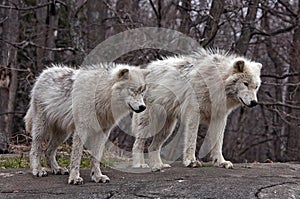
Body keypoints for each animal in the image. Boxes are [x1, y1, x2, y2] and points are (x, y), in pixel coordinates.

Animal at [132, 48, 262, 171]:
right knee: (138, 144)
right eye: (245, 83)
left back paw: (159, 166)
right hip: (149, 122)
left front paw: (221, 162)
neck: (217, 81)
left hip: (167, 128)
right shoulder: (193, 113)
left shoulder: (219, 117)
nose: (254, 102)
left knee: (152, 147)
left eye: (256, 87)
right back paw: (140, 165)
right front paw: (191, 161)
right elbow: (192, 139)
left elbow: (218, 143)